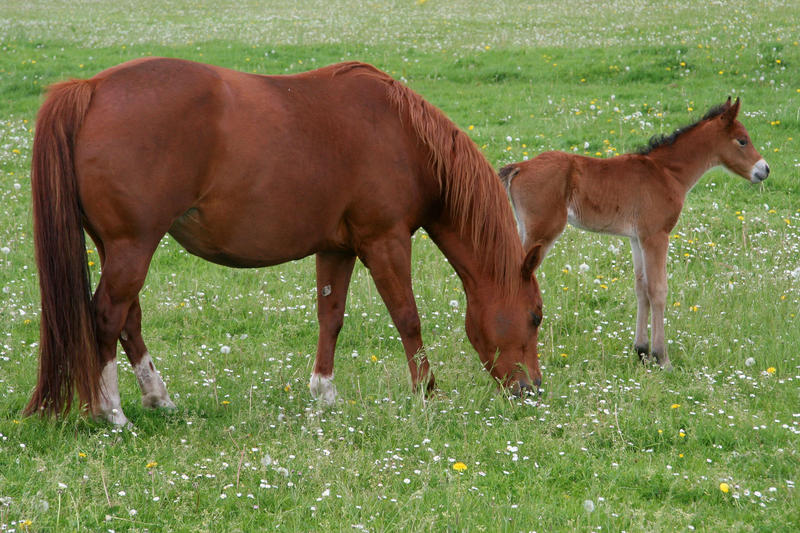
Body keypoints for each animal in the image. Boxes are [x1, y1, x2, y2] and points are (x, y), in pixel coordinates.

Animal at [28, 58, 548, 424]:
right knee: (105, 317)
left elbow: (331, 317)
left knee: (127, 319)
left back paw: (159, 399)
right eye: (536, 316)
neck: (402, 135)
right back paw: (113, 413)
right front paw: (427, 393)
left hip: (119, 248)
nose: (533, 391)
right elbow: (407, 319)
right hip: (132, 246)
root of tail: (90, 89)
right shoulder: (386, 241)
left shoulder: (337, 248)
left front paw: (325, 394)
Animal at [500, 97, 768, 368]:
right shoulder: (656, 236)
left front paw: (641, 350)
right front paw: (662, 357)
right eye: (742, 140)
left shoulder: (637, 239)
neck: (666, 172)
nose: (764, 170)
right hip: (542, 231)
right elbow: (658, 290)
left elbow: (642, 288)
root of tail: (519, 167)